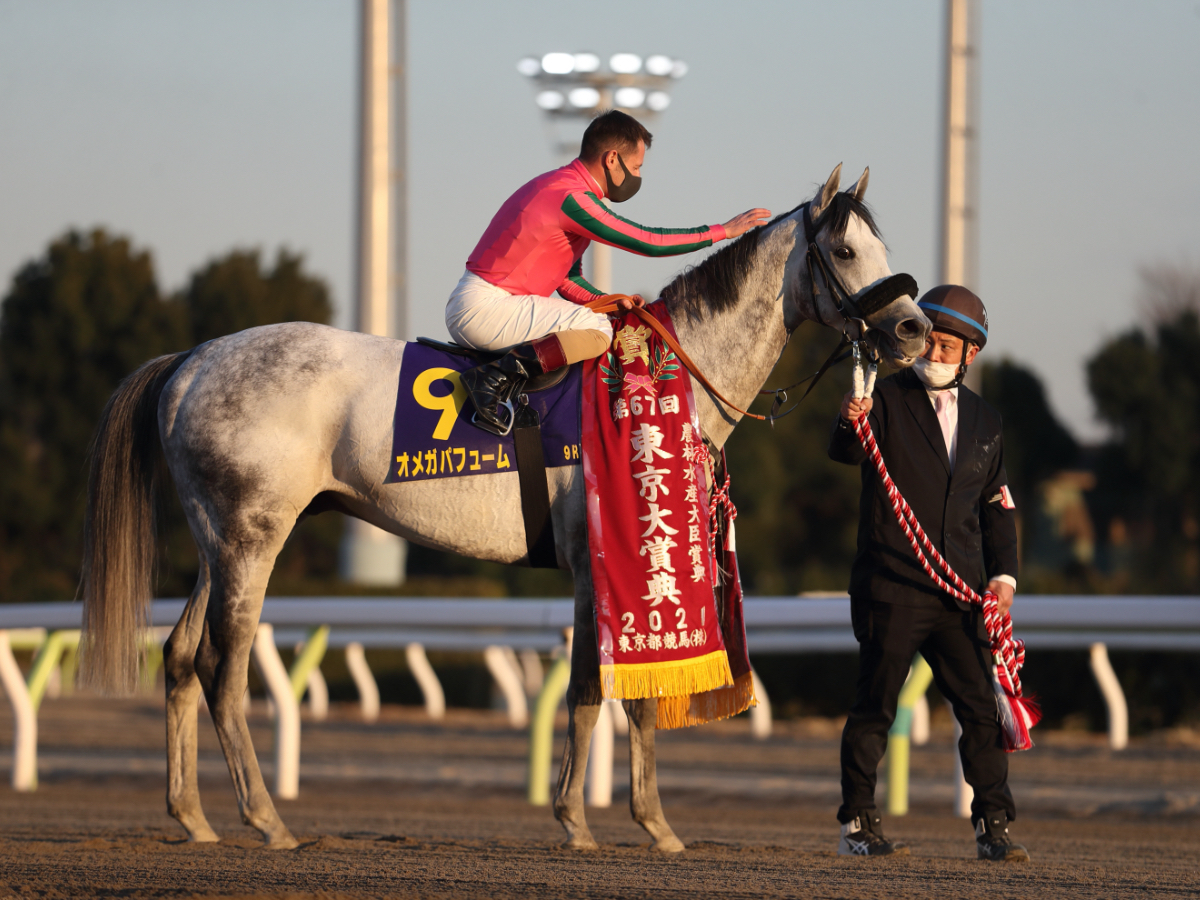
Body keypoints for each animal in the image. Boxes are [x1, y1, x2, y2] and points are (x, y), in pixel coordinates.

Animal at [79, 164, 926, 854]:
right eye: (845, 252)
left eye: (880, 245)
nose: (914, 327)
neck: (662, 378)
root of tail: (192, 361)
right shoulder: (601, 559)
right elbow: (595, 690)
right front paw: (589, 821)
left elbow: (622, 695)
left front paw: (647, 824)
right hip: (254, 538)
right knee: (223, 670)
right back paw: (267, 820)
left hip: (216, 544)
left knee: (180, 659)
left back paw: (193, 817)